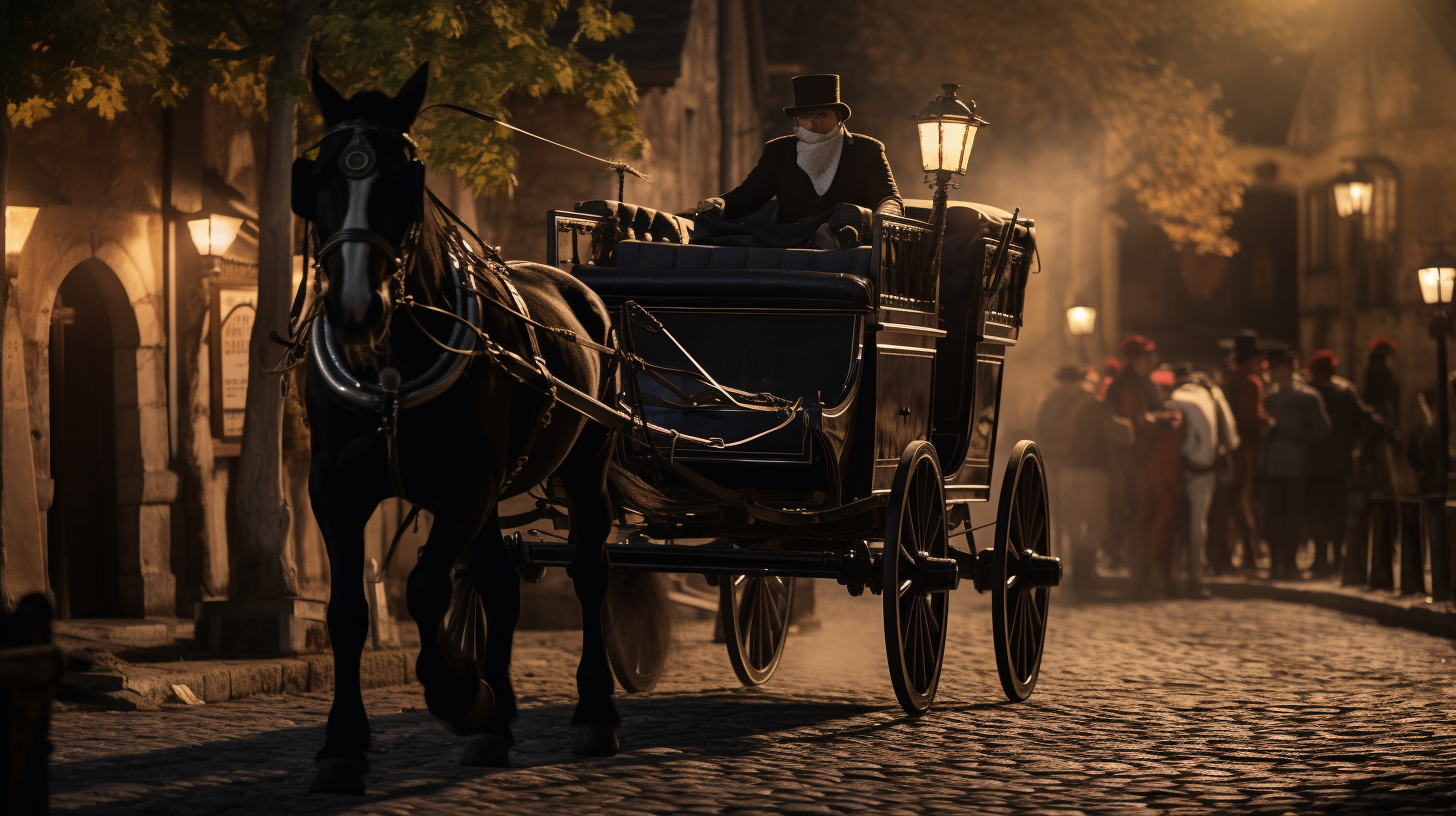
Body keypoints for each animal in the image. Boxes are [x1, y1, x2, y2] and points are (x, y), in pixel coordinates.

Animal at [298, 65, 663, 798]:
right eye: (317, 175)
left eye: (405, 176)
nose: (354, 308)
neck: (390, 366)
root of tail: (580, 288)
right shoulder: (337, 490)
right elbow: (348, 610)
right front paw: (342, 746)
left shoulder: (463, 486)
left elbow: (424, 586)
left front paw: (458, 692)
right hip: (495, 492)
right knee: (498, 581)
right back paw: (496, 728)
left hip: (582, 469)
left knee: (590, 570)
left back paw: (592, 712)